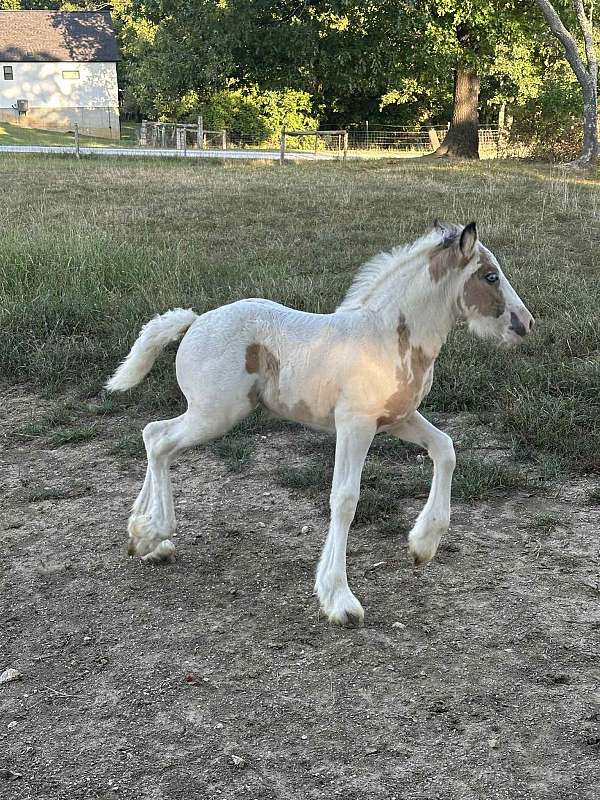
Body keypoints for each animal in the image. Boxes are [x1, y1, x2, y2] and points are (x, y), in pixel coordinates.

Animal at [106, 221, 534, 626]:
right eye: (490, 276)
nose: (526, 323)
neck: (388, 338)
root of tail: (194, 321)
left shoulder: (397, 418)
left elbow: (445, 448)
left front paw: (423, 544)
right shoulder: (355, 425)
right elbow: (344, 499)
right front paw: (339, 599)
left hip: (210, 413)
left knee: (154, 437)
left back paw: (145, 538)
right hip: (215, 413)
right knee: (159, 440)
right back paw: (152, 532)